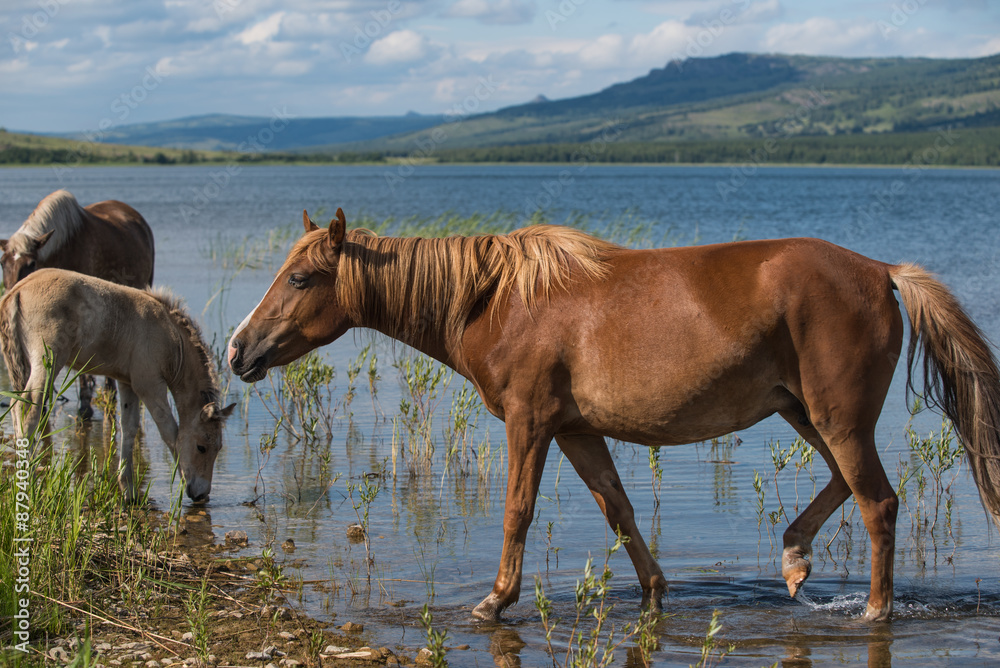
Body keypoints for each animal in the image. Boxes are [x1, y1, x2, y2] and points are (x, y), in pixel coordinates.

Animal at [0, 268, 235, 502]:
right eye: (201, 447)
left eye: (219, 448)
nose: (201, 494)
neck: (170, 336)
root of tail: (17, 291)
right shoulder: (149, 385)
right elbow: (170, 431)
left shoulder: (127, 382)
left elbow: (129, 428)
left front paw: (129, 490)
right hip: (48, 361)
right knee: (29, 408)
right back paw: (28, 483)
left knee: (16, 406)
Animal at [228, 209, 1000, 622]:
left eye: (301, 278)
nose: (238, 349)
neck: (496, 298)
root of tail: (880, 271)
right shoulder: (576, 430)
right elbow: (619, 509)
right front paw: (655, 594)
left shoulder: (530, 421)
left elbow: (518, 511)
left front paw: (495, 601)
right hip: (805, 414)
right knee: (848, 487)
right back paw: (794, 561)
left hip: (835, 418)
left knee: (878, 503)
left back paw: (873, 608)